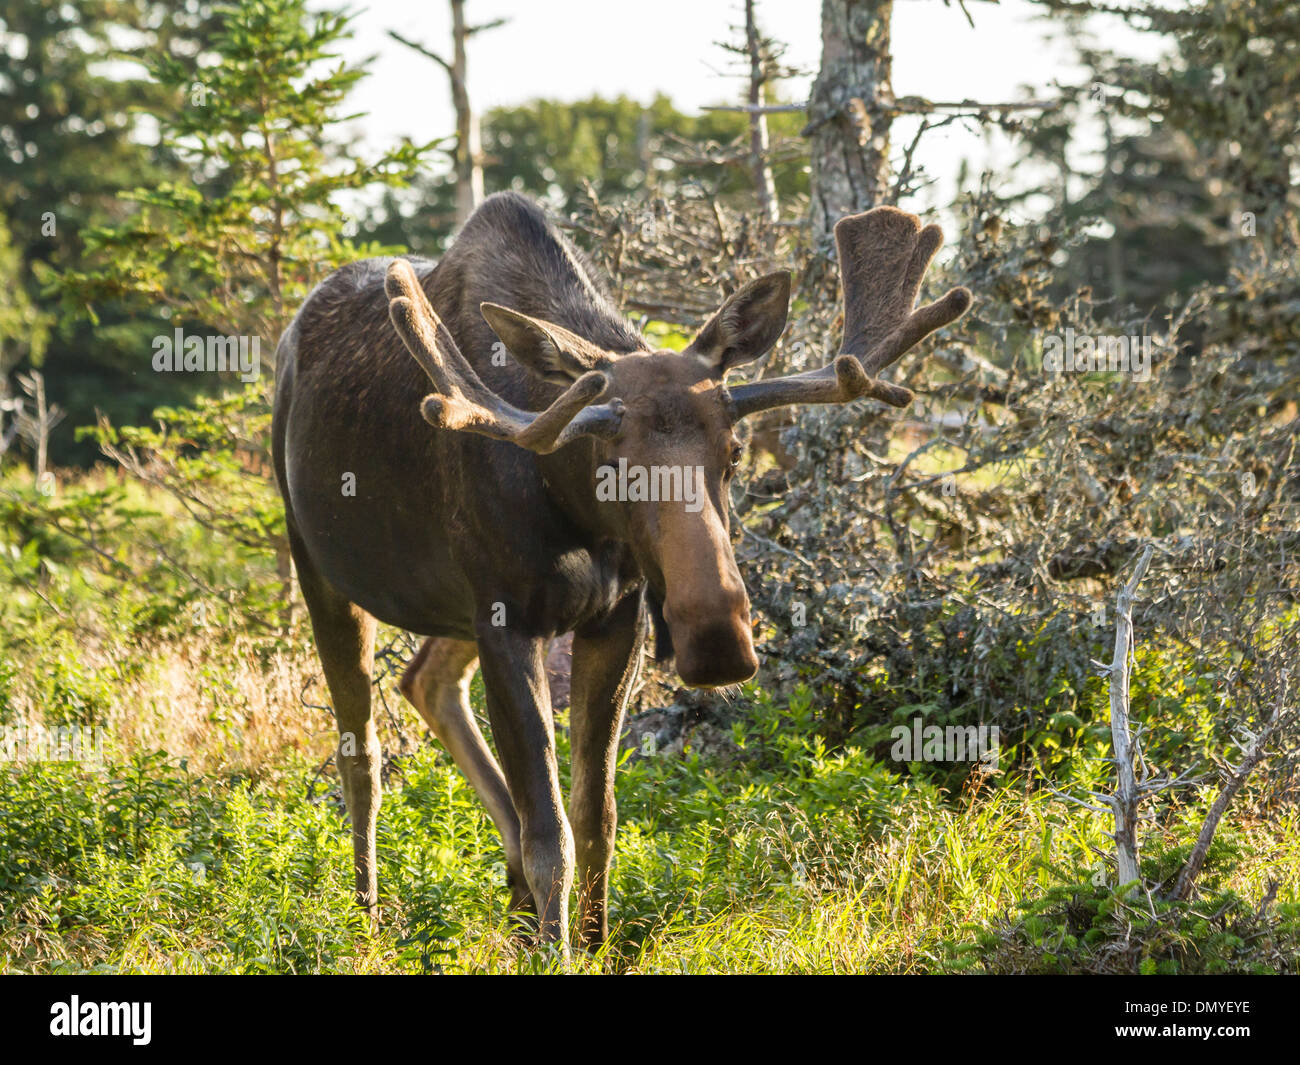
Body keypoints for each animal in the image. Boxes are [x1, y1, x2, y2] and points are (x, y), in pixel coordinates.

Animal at [271, 189, 967, 951]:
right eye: (613, 465)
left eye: (733, 453)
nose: (717, 639)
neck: (570, 505)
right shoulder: (505, 618)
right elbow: (551, 834)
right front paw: (557, 951)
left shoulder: (614, 616)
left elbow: (595, 817)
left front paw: (594, 940)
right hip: (321, 565)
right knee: (360, 751)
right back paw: (365, 919)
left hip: (453, 608)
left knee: (424, 679)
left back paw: (512, 904)